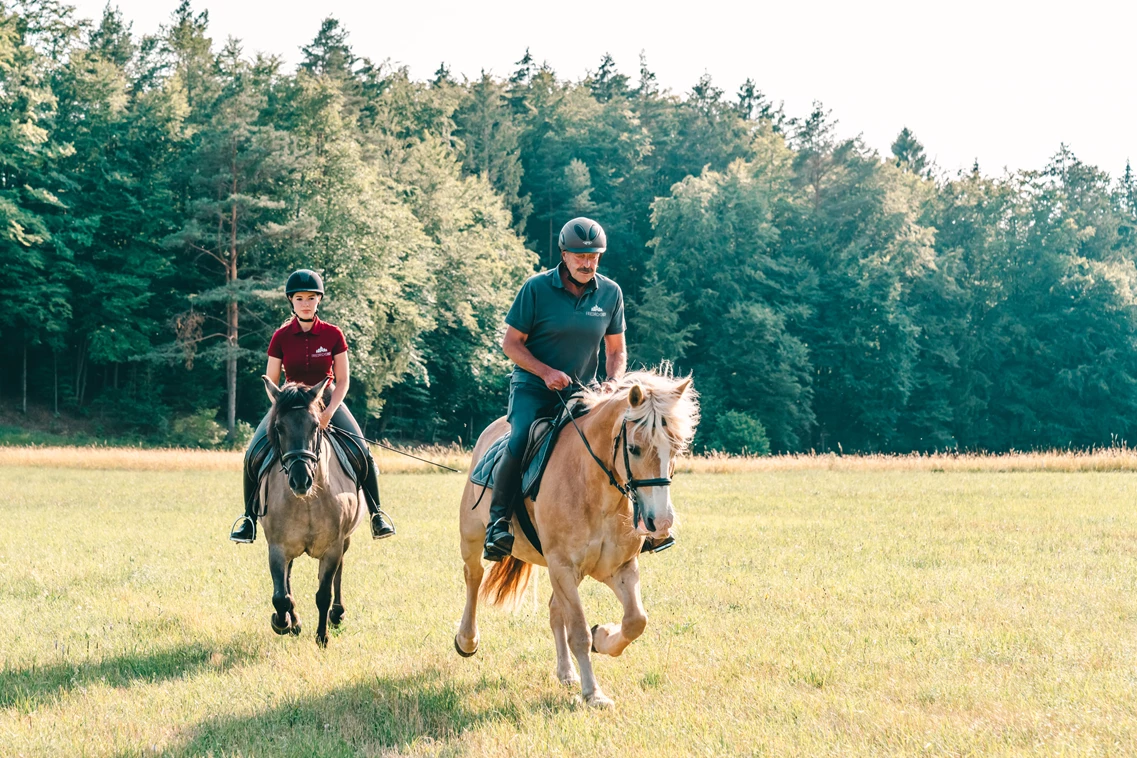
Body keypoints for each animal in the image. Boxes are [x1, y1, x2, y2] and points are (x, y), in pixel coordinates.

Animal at [258, 377, 363, 645]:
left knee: (339, 572)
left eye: (315, 426)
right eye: (279, 427)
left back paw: (337, 614)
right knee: (288, 578)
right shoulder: (277, 547)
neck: (307, 501)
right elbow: (281, 596)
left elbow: (323, 594)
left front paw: (322, 636)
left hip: (345, 541)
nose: (300, 479)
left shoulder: (333, 547)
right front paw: (284, 622)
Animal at [457, 370, 695, 709]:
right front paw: (593, 693)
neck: (594, 486)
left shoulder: (618, 568)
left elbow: (636, 620)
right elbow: (580, 632)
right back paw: (467, 639)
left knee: (555, 609)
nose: (660, 522)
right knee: (473, 576)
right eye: (634, 448)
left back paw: (567, 673)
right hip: (473, 536)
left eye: (675, 449)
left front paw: (604, 637)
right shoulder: (563, 566)